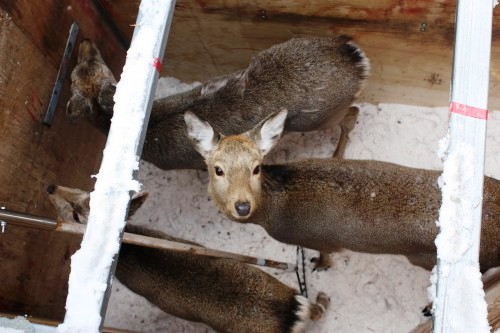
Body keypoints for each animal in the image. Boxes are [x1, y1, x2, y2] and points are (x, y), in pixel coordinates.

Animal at [46, 184, 328, 332]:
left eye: (76, 214)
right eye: (90, 191)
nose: (51, 188)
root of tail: (289, 314)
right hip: (278, 283)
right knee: (315, 308)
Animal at [68, 36, 370, 169]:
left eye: (93, 63)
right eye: (78, 71)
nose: (85, 40)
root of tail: (355, 58)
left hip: (319, 116)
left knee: (352, 112)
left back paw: (336, 155)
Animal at [184, 107, 500, 272]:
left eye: (256, 167)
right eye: (218, 169)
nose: (242, 206)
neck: (272, 210)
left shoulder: (318, 239)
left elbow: (326, 253)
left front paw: (320, 265)